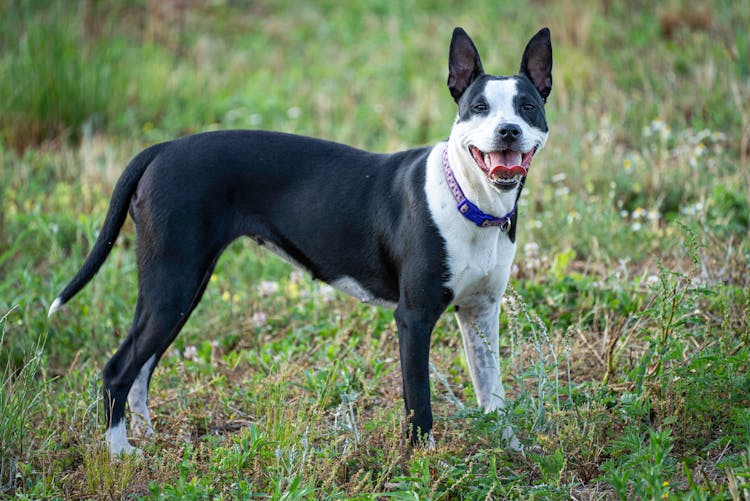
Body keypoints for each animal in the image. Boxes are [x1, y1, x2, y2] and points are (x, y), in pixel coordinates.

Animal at [47, 28, 552, 458]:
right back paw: (120, 453)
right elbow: (420, 404)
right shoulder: (414, 318)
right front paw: (424, 465)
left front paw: (511, 451)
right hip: (173, 285)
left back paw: (147, 436)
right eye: (479, 107)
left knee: (141, 366)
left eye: (528, 107)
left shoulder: (480, 313)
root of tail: (162, 149)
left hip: (178, 290)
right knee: (118, 369)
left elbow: (493, 394)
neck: (472, 200)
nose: (508, 131)